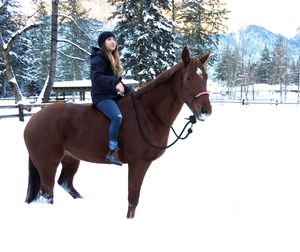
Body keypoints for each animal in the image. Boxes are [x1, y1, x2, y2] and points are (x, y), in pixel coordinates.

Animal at [24, 46, 211, 219]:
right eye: (188, 78)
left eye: (206, 77)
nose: (205, 110)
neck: (148, 113)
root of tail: (33, 120)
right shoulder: (138, 163)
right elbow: (133, 198)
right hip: (48, 165)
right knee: (48, 194)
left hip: (71, 159)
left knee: (65, 183)